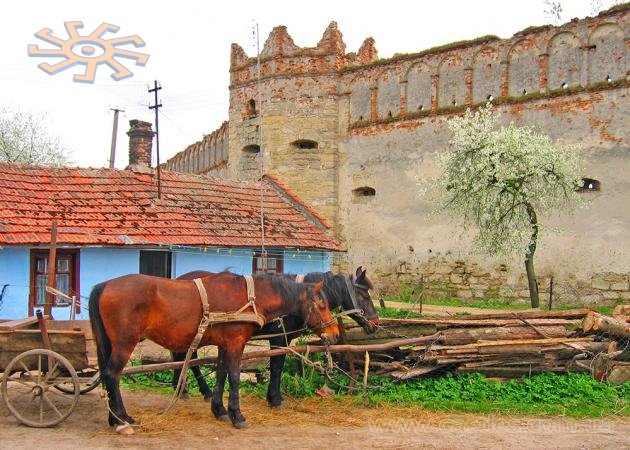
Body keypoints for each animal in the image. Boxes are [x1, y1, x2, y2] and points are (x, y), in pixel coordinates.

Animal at [89, 270, 340, 428]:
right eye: (322, 305)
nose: (335, 334)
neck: (249, 297)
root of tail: (105, 285)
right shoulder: (236, 343)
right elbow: (235, 377)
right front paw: (237, 415)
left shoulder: (223, 345)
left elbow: (221, 375)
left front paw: (219, 410)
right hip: (125, 343)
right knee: (112, 375)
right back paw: (121, 420)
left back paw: (116, 418)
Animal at [173, 268, 380, 408]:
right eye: (363, 295)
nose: (375, 324)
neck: (295, 300)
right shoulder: (279, 339)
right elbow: (277, 367)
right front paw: (275, 398)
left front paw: (273, 396)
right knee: (190, 359)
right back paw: (201, 390)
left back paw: (181, 388)